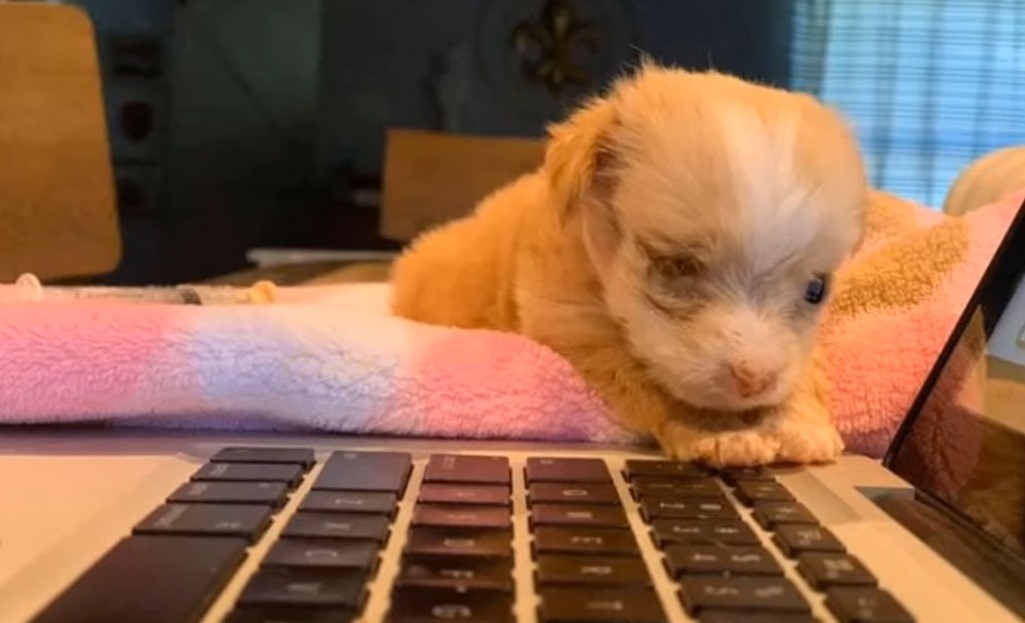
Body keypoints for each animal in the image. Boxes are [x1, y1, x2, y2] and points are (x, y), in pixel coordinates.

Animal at [389, 63, 865, 465]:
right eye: (676, 266)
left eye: (816, 290)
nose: (755, 378)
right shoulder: (579, 325)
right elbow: (658, 382)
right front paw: (719, 432)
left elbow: (802, 368)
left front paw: (798, 422)